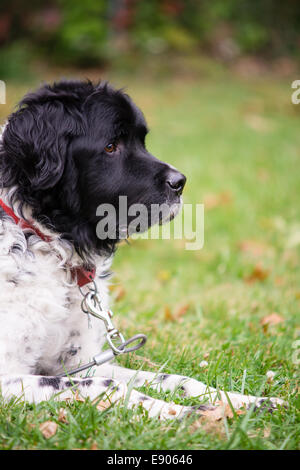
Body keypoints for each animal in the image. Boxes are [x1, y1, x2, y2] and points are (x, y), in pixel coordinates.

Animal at [0, 81, 282, 418]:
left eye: (141, 141)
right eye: (111, 146)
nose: (180, 181)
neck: (45, 239)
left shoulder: (79, 363)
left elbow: (176, 378)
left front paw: (242, 401)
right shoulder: (11, 376)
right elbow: (112, 387)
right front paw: (184, 413)